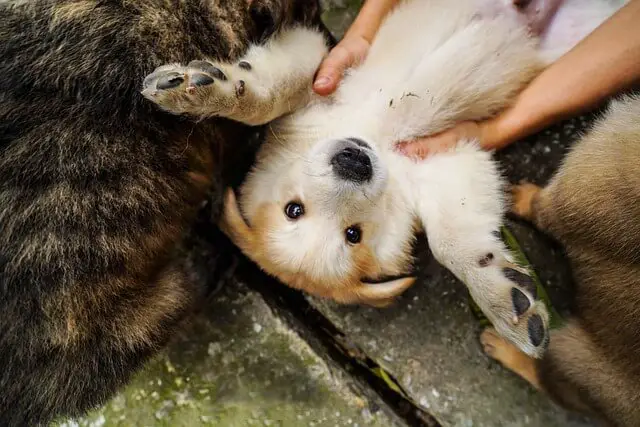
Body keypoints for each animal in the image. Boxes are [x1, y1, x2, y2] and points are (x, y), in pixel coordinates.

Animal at [142, 0, 628, 360]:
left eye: (293, 210)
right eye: (351, 233)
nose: (354, 163)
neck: (372, 133)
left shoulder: (322, 61)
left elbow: (266, 98)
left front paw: (206, 89)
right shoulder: (446, 159)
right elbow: (451, 239)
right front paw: (501, 290)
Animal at [482, 95, 640, 426]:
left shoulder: (574, 192)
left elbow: (537, 203)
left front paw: (516, 196)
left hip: (574, 356)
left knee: (548, 380)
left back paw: (507, 349)